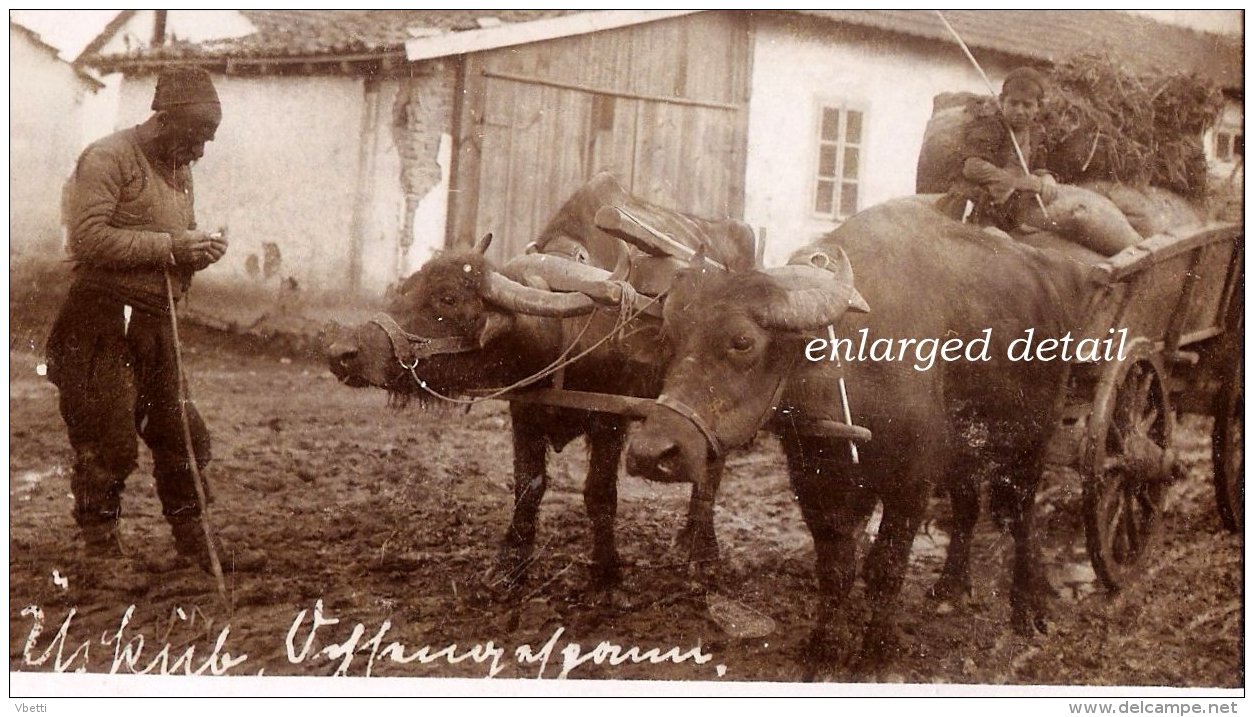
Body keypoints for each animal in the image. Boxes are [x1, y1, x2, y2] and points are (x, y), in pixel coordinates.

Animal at [323, 171, 767, 594]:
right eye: (407, 286)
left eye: (447, 299)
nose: (341, 352)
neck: (564, 339)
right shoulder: (525, 410)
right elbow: (528, 485)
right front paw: (510, 567)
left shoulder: (610, 421)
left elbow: (599, 493)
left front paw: (606, 575)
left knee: (711, 469)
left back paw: (703, 551)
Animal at [624, 194, 1098, 666]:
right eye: (670, 335)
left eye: (742, 341)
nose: (651, 452)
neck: (852, 364)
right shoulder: (815, 480)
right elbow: (835, 566)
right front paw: (824, 645)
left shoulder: (912, 484)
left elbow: (887, 565)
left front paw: (877, 649)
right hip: (965, 452)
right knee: (967, 508)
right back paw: (950, 589)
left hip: (1033, 442)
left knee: (1021, 518)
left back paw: (1027, 609)